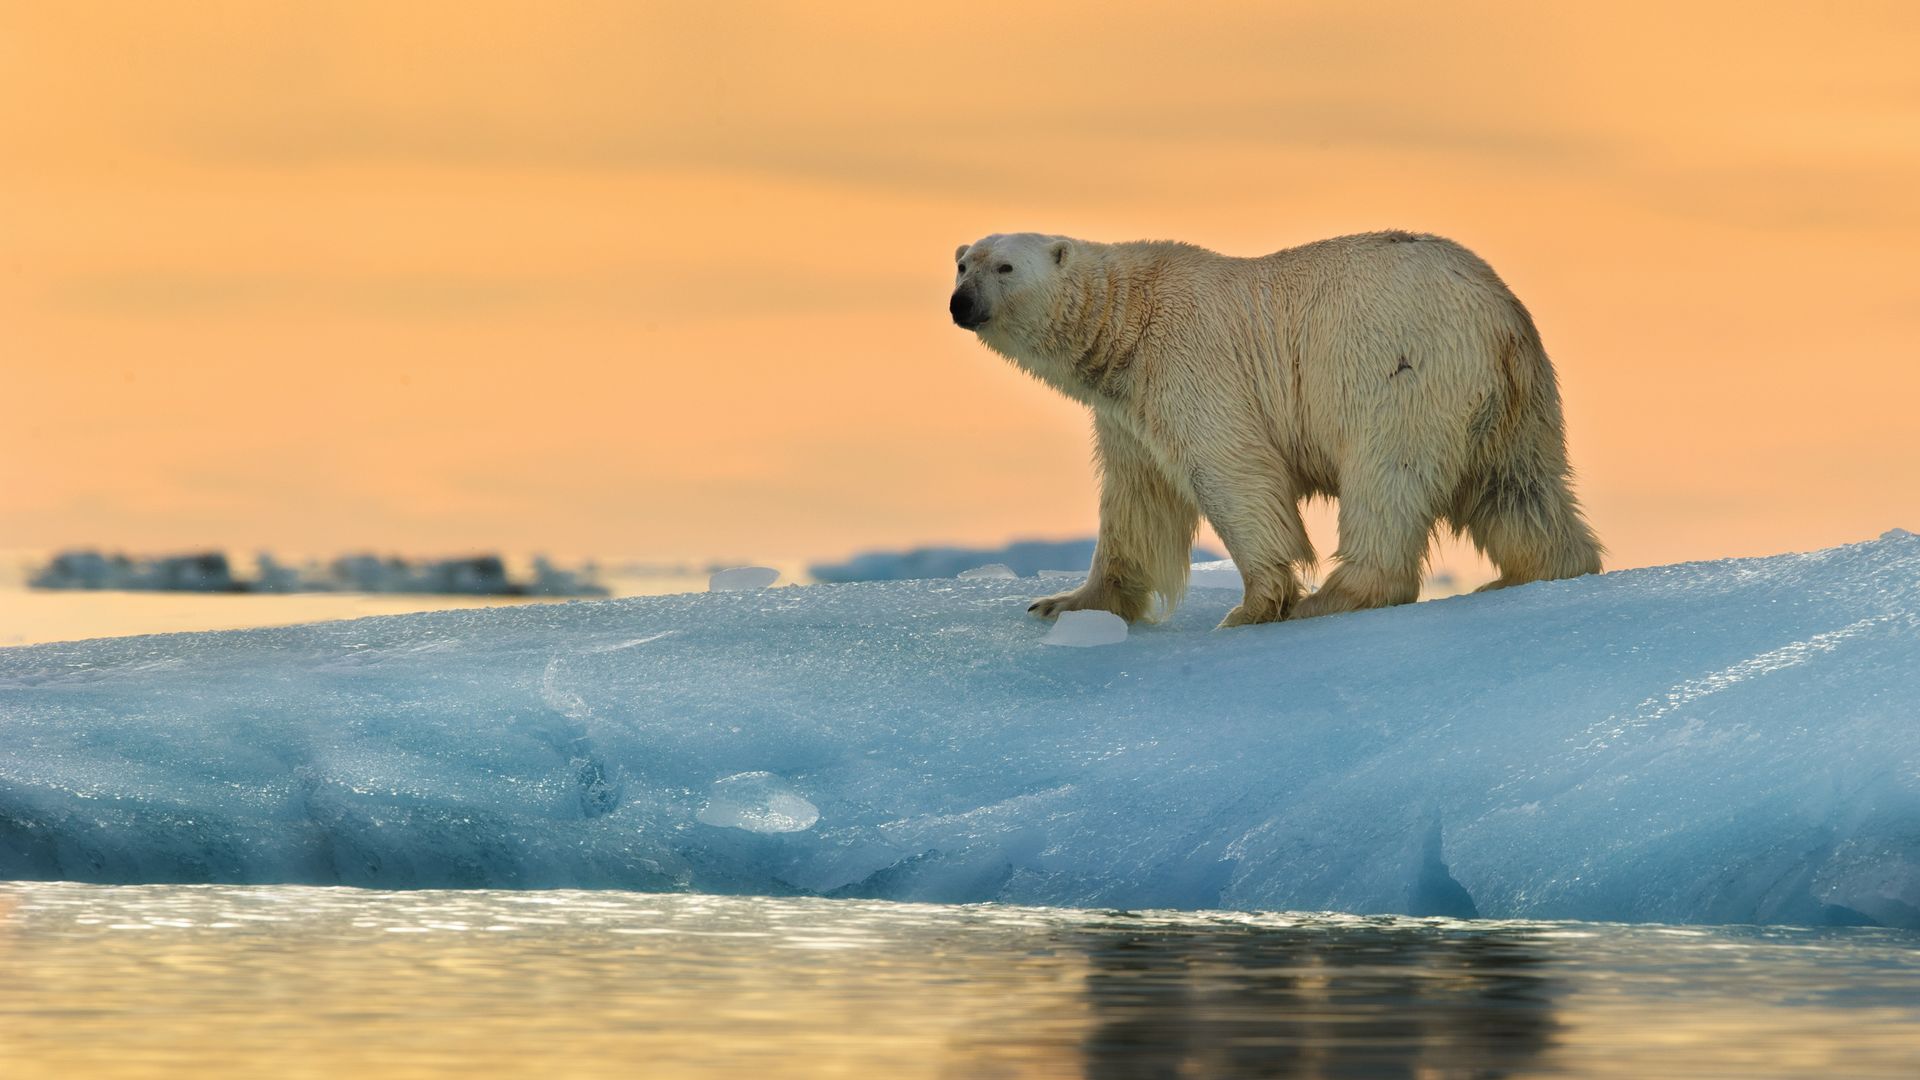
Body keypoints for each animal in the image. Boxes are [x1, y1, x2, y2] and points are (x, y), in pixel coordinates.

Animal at [948, 231, 1605, 626]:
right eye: (960, 264)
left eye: (1004, 265)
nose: (961, 303)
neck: (1128, 322)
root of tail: (1502, 319)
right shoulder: (1126, 413)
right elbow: (1138, 504)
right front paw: (1062, 604)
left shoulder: (1190, 365)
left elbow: (1234, 471)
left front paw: (1254, 605)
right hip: (1514, 404)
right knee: (1520, 491)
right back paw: (1535, 571)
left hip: (1403, 376)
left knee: (1387, 481)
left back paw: (1336, 596)